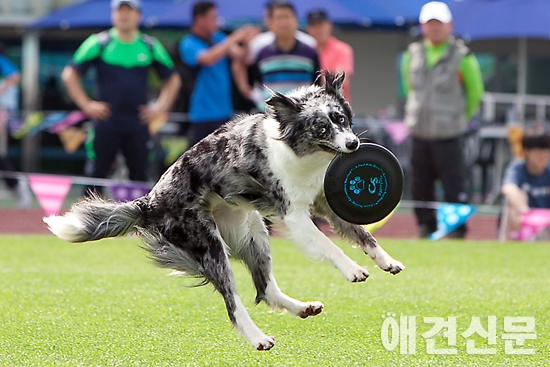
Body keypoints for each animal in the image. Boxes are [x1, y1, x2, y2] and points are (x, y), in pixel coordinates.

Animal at [44, 71, 406, 350]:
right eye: (321, 129)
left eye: (341, 120)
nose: (353, 145)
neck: (301, 153)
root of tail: (149, 202)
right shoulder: (293, 216)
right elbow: (330, 246)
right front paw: (353, 270)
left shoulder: (323, 201)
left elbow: (362, 234)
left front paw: (387, 261)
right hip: (210, 246)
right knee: (234, 303)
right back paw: (258, 338)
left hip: (252, 231)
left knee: (265, 289)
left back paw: (302, 308)